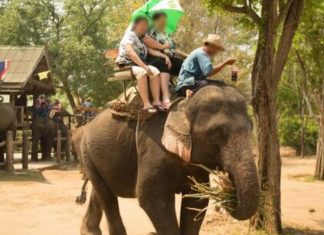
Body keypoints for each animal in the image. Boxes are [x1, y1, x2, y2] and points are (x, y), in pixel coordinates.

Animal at [80, 84, 258, 235]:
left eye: (251, 128)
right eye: (217, 132)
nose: (226, 184)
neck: (185, 104)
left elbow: (196, 200)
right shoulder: (154, 148)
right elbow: (152, 197)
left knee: (100, 192)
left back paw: (89, 232)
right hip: (87, 153)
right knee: (107, 196)